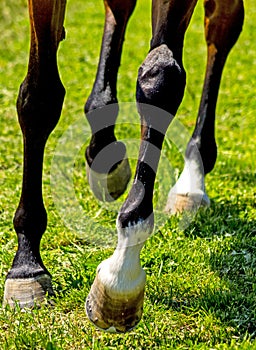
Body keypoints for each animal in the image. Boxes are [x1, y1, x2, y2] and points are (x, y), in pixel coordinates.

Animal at [3, 0, 245, 334]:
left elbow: (160, 77)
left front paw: (122, 274)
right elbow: (40, 98)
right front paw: (26, 264)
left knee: (221, 27)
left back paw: (191, 181)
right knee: (120, 10)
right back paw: (104, 147)